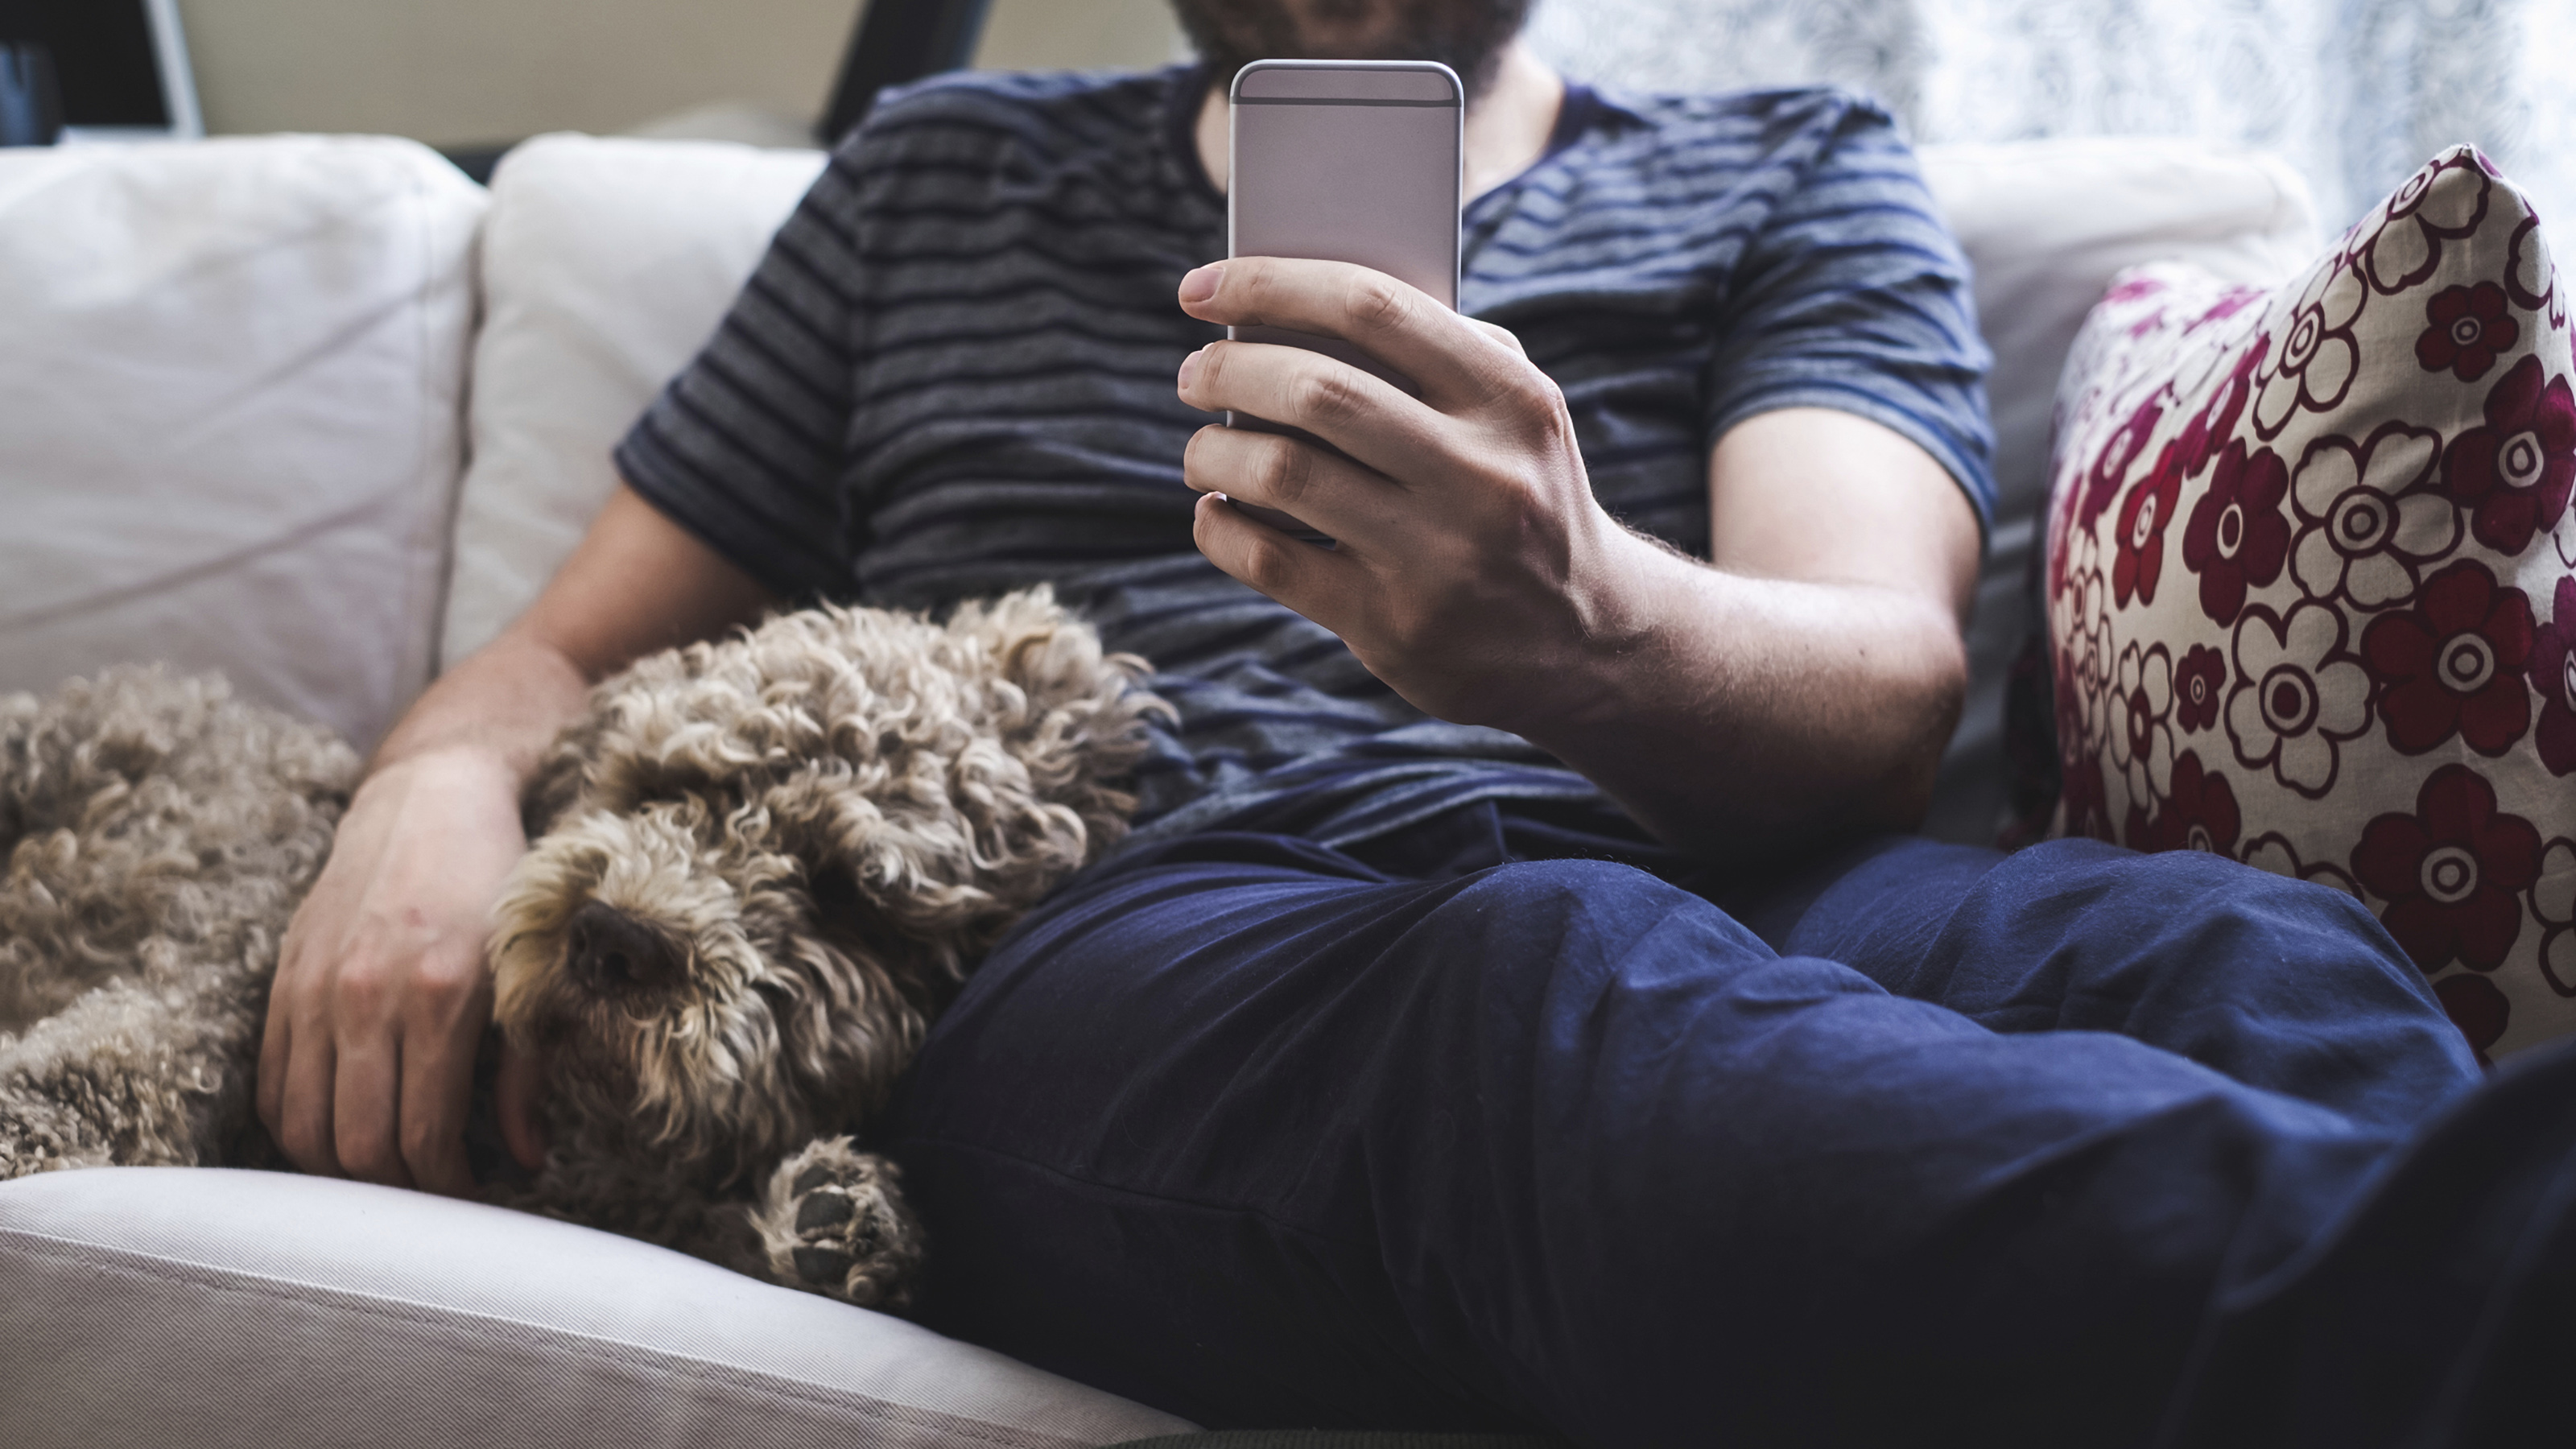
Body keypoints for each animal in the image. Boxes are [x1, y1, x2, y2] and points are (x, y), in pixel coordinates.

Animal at [0, 588, 1164, 1310]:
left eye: (844, 892)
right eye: (663, 785)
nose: (612, 938)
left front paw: (841, 1220)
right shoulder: (227, 976)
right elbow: (104, 1065)